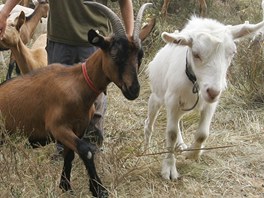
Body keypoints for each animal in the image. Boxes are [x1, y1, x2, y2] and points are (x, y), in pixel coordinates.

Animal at [0, 2, 155, 197]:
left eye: (140, 55)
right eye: (115, 54)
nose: (134, 90)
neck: (78, 83)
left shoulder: (78, 128)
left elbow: (71, 155)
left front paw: (65, 186)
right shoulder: (58, 127)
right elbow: (86, 151)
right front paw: (98, 189)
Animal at [144, 16, 264, 180]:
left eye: (232, 52)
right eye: (196, 54)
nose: (213, 92)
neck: (194, 82)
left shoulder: (209, 104)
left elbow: (202, 134)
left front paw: (193, 154)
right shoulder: (172, 100)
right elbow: (171, 133)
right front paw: (169, 168)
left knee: (178, 122)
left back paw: (181, 146)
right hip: (156, 97)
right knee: (150, 122)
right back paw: (146, 149)